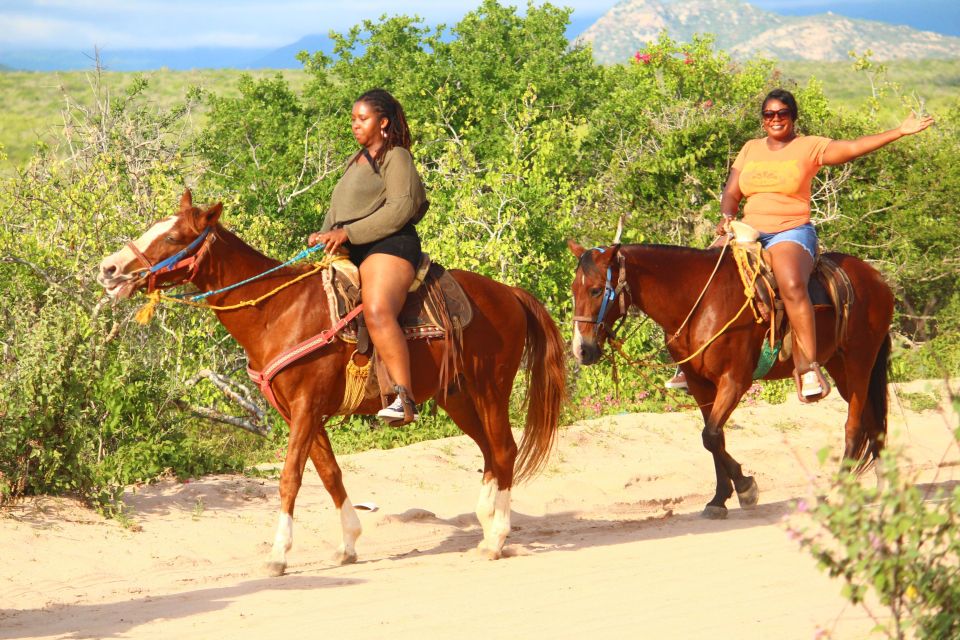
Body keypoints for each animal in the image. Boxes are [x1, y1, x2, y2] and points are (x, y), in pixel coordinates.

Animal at [94, 191, 568, 576]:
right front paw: (348, 544)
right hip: (458, 397)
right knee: (489, 453)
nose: (109, 268)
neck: (278, 311)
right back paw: (486, 524)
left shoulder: (306, 406)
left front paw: (278, 555)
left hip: (491, 388)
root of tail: (509, 293)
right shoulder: (301, 412)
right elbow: (329, 473)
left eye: (174, 238)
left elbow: (290, 477)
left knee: (504, 450)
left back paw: (496, 539)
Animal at [568, 240, 892, 520]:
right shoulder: (700, 385)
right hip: (841, 367)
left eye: (596, 291)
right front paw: (719, 499)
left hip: (859, 361)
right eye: (574, 290)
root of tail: (876, 278)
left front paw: (746, 488)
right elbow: (714, 438)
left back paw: (836, 491)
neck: (699, 303)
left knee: (854, 426)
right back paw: (882, 486)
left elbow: (711, 435)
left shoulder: (735, 381)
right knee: (872, 422)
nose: (581, 350)